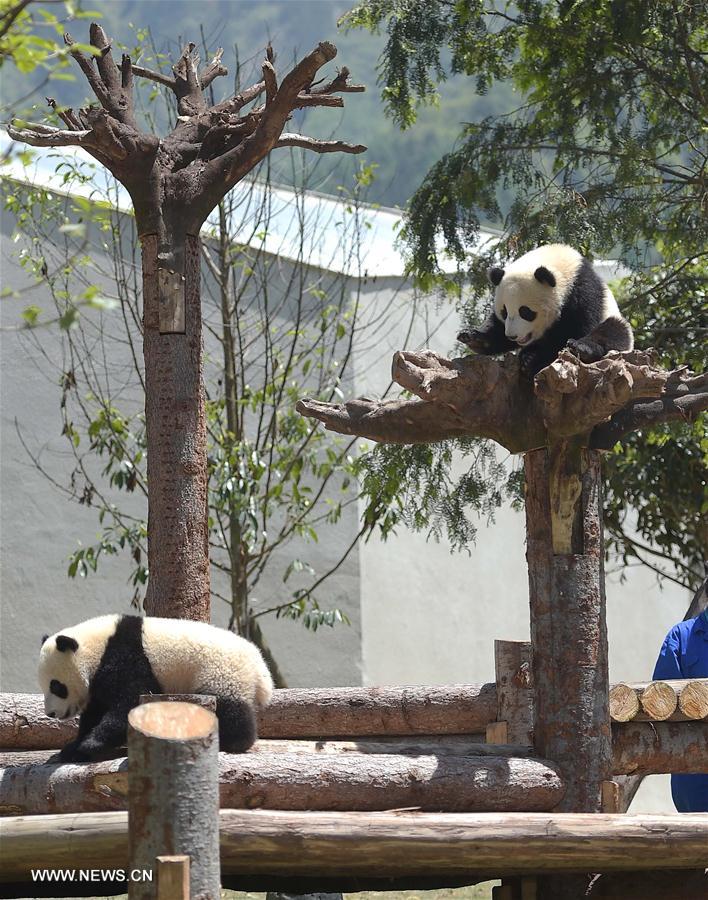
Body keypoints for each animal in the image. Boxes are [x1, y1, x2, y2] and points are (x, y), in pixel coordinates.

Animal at [36, 612, 274, 760]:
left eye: (56, 686)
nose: (51, 713)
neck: (97, 646)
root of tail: (260, 669)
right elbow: (95, 711)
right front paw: (71, 749)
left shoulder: (126, 658)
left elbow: (128, 703)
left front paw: (91, 744)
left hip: (221, 673)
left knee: (231, 710)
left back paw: (233, 741)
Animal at [460, 243, 636, 376]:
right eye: (505, 311)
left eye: (525, 311)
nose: (512, 336)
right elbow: (496, 329)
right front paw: (471, 336)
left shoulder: (583, 292)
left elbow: (578, 329)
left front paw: (532, 357)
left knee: (615, 330)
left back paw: (581, 347)